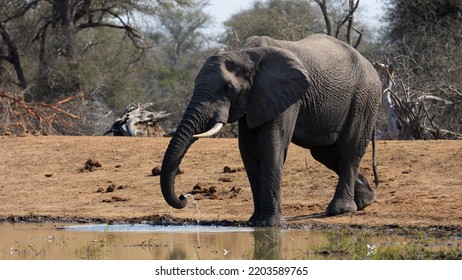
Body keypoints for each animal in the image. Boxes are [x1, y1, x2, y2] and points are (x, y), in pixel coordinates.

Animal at [161, 34, 380, 228]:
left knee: (349, 149)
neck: (244, 52)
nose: (183, 196)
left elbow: (271, 146)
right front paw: (254, 222)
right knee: (323, 153)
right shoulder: (254, 98)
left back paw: (341, 209)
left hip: (364, 98)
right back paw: (366, 200)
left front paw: (269, 224)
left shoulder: (286, 96)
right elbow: (248, 151)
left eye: (228, 88)